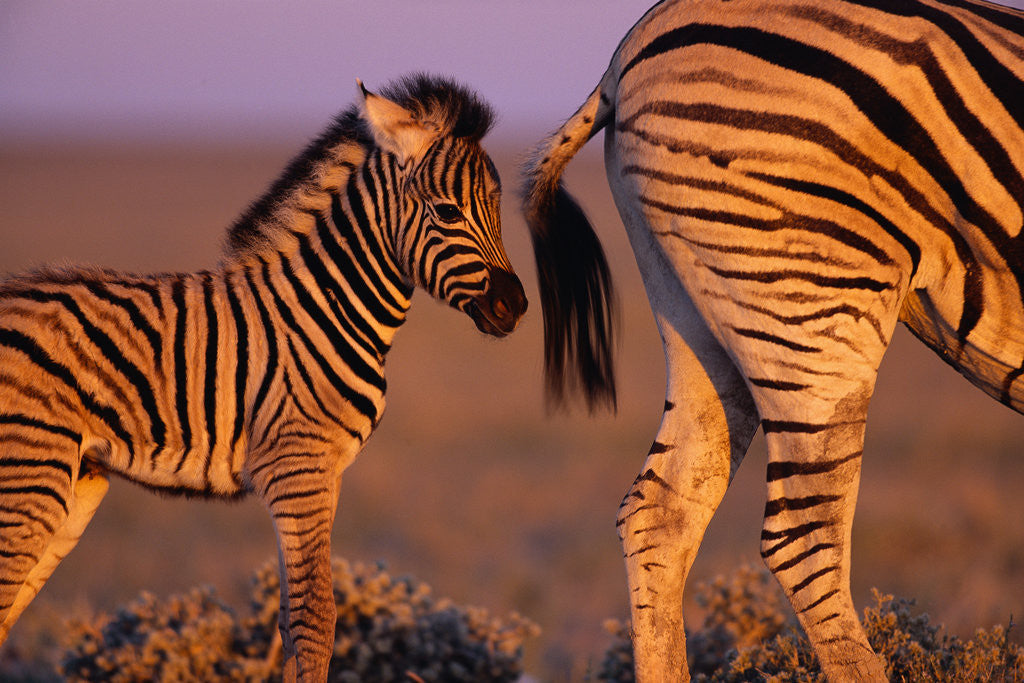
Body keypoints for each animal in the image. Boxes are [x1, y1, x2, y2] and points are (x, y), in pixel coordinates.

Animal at [0, 73, 526, 681]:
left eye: (497, 208)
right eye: (446, 212)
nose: (515, 307)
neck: (329, 306)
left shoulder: (322, 473)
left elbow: (290, 620)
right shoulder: (296, 466)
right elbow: (316, 618)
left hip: (75, 482)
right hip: (30, 471)